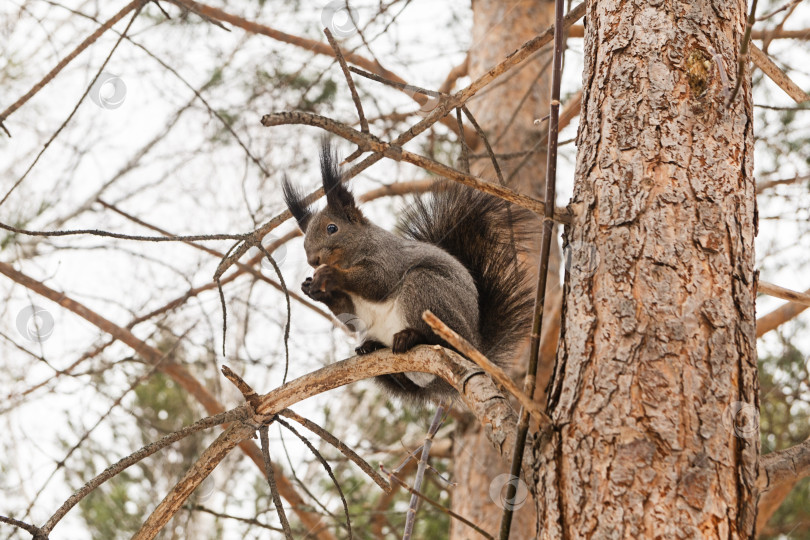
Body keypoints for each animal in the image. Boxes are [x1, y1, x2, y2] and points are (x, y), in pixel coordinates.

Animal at [280, 141, 532, 402]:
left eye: (332, 228)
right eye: (304, 239)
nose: (313, 260)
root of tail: (476, 347)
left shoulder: (389, 258)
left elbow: (380, 283)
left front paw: (331, 276)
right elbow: (348, 316)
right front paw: (313, 290)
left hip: (428, 291)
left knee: (438, 336)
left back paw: (412, 337)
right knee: (407, 384)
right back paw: (376, 352)